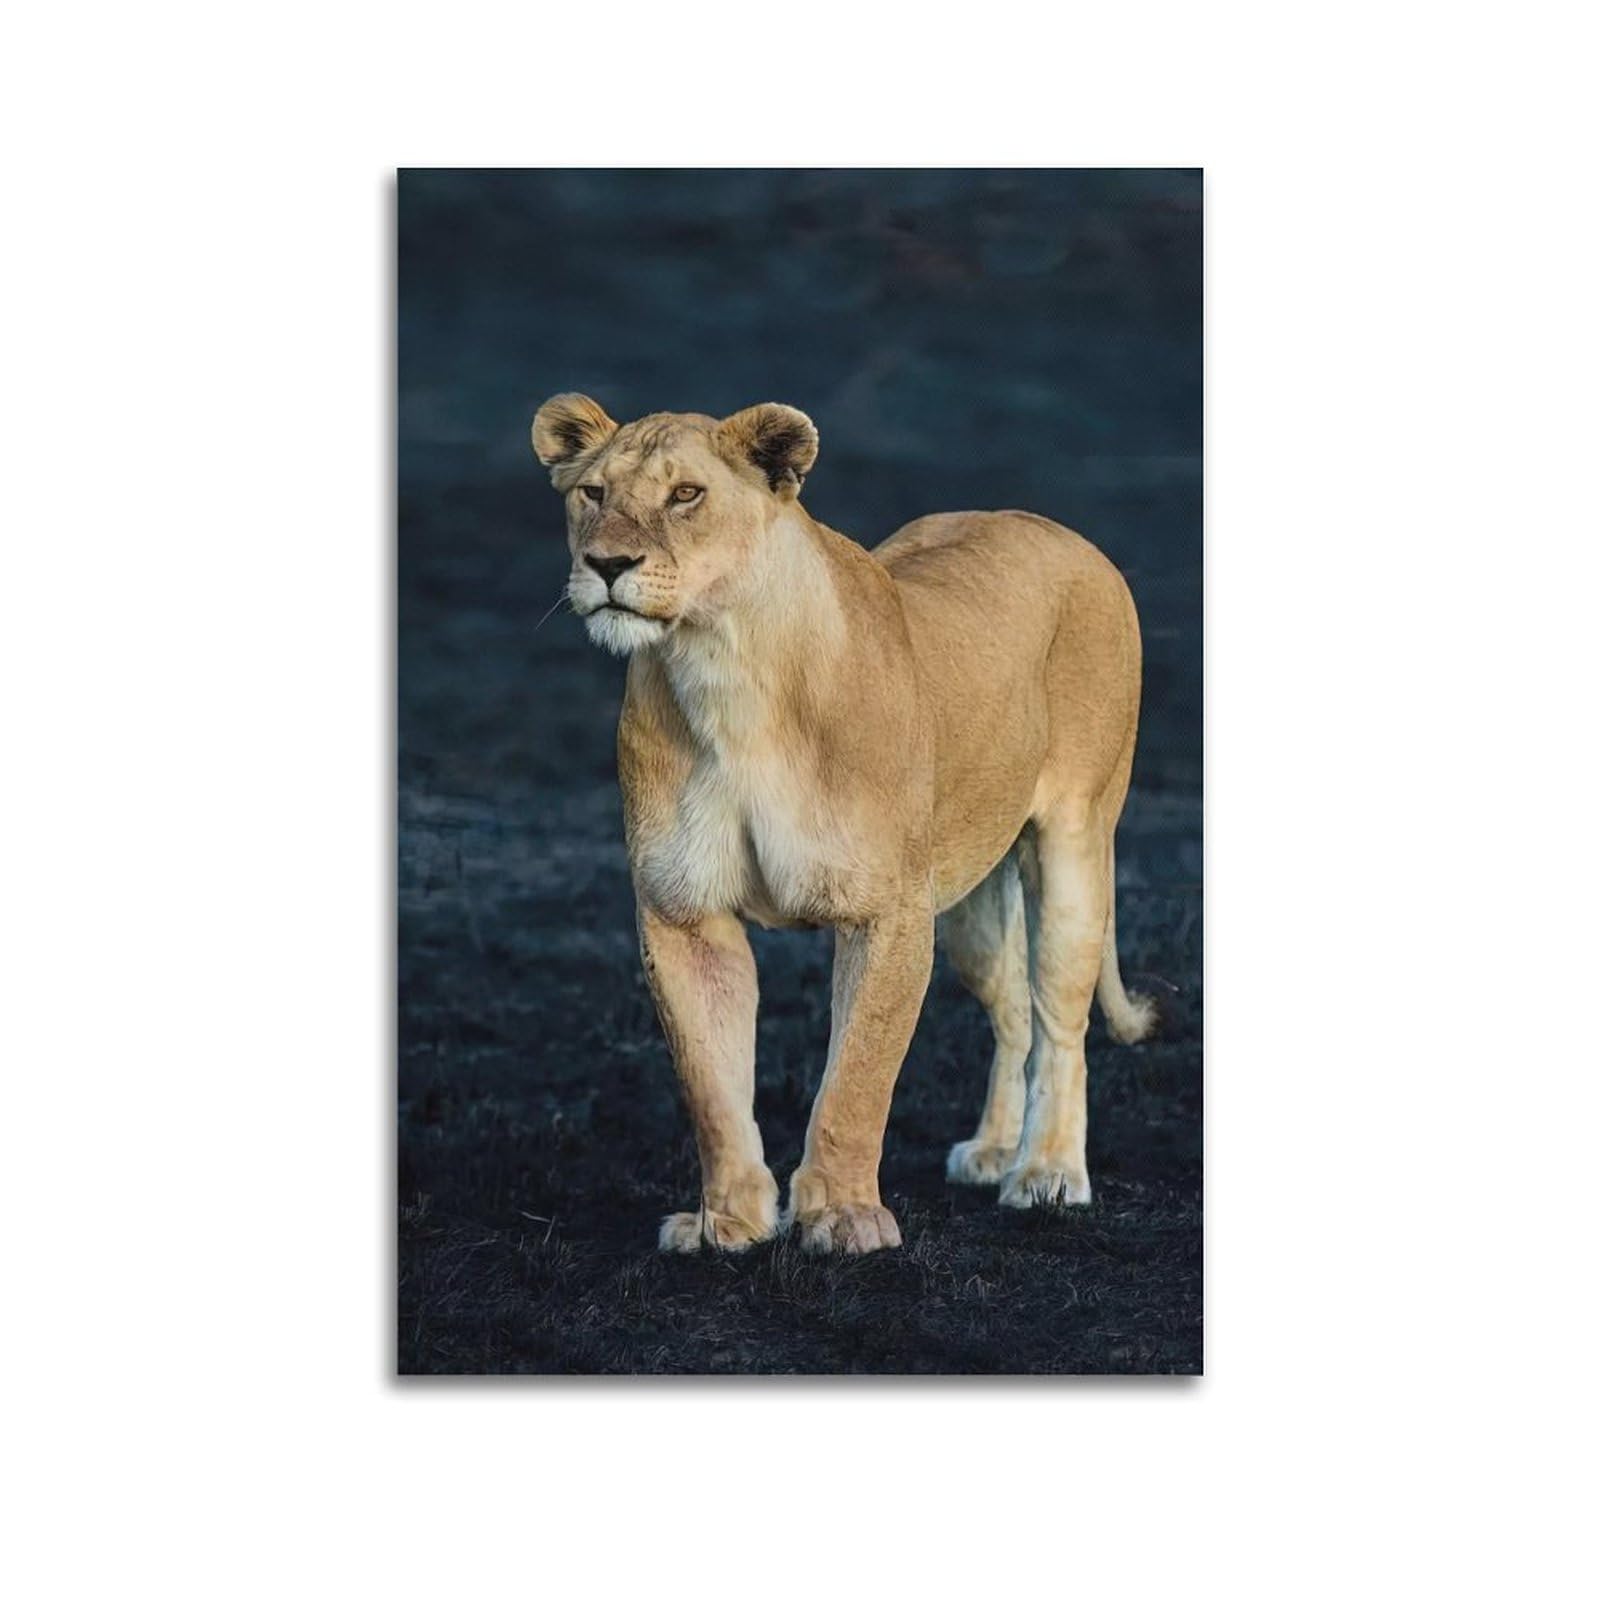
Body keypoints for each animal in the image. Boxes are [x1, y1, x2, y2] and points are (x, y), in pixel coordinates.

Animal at [532, 393, 1159, 1256]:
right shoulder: (681, 912)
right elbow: (711, 1083)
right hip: (969, 904)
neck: (723, 669)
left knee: (1059, 1020)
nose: (606, 565)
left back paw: (1047, 1173)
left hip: (1073, 845)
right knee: (1012, 1014)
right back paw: (995, 1151)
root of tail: (1065, 533)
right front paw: (727, 1221)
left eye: (686, 495)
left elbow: (857, 1077)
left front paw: (843, 1217)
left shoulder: (887, 911)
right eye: (592, 493)